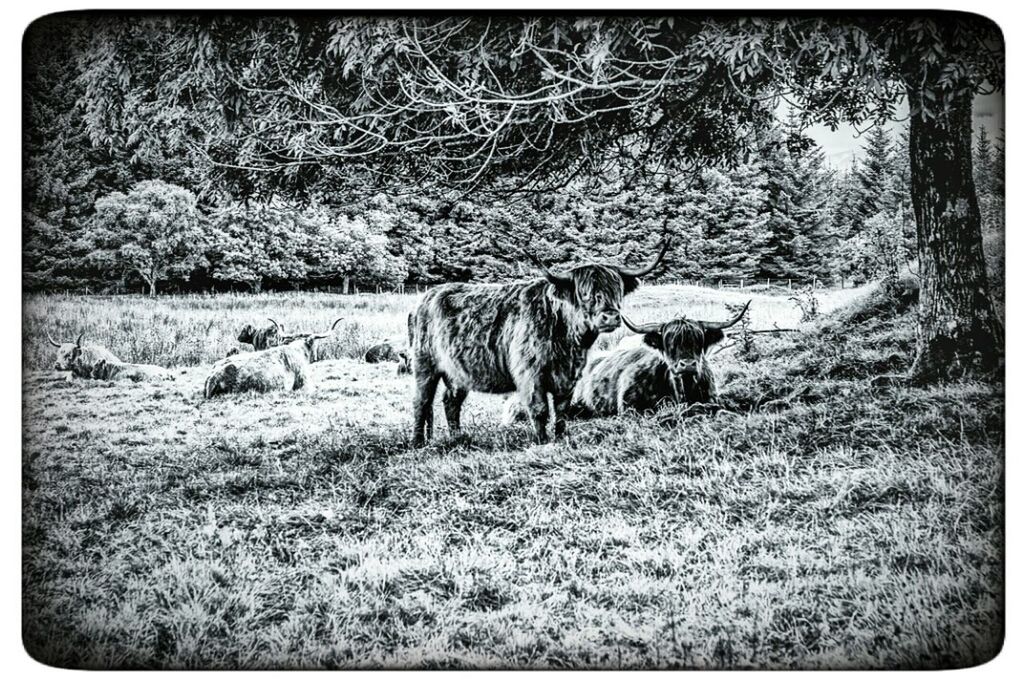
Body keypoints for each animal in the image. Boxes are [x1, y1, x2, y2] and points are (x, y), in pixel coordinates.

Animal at [407, 240, 671, 446]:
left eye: (617, 290)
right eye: (584, 292)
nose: (610, 316)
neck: (565, 336)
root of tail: (426, 297)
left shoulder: (569, 376)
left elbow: (562, 410)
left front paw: (561, 437)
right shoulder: (530, 374)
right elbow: (540, 409)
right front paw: (542, 441)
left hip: (457, 371)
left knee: (451, 401)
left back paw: (458, 438)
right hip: (424, 366)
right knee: (421, 401)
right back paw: (418, 442)